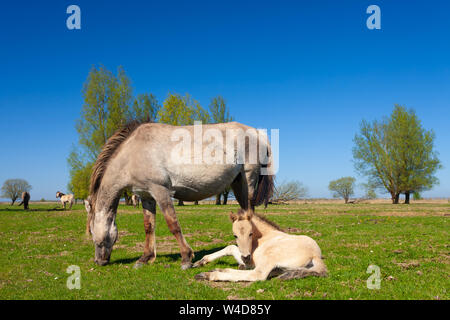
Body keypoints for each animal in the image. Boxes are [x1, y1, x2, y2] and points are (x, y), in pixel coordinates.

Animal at [85, 121, 274, 268]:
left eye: (92, 233)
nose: (98, 261)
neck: (134, 152)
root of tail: (257, 133)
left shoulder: (161, 191)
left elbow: (173, 224)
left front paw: (186, 258)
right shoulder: (146, 196)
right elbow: (148, 226)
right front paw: (145, 258)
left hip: (248, 181)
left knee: (250, 214)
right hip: (238, 183)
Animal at [193, 210, 326, 282]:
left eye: (250, 233)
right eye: (235, 235)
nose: (246, 257)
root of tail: (315, 256)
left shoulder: (251, 260)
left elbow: (231, 248)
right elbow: (231, 248)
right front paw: (200, 261)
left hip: (269, 257)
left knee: (257, 275)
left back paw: (209, 274)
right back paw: (219, 270)